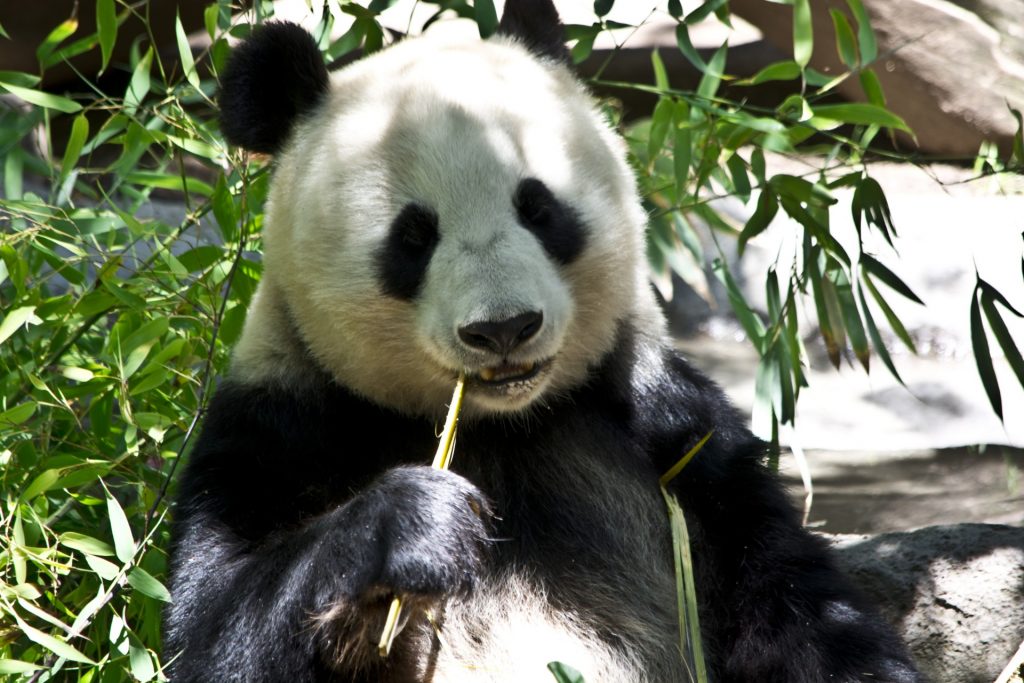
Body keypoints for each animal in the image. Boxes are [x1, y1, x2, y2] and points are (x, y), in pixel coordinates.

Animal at [165, 1, 925, 682]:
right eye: (413, 236)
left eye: (538, 207)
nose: (504, 327)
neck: (499, 426)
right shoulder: (283, 424)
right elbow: (212, 629)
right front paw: (413, 525)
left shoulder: (673, 432)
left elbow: (798, 611)